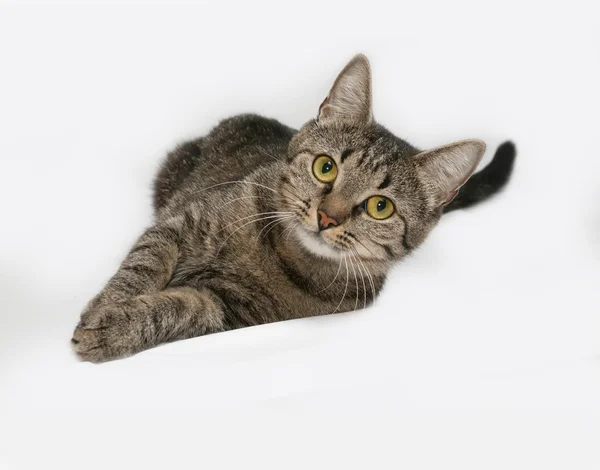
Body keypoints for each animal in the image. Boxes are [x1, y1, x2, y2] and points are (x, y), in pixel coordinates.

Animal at [71, 56, 516, 364]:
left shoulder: (231, 310)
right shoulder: (183, 222)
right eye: (325, 167)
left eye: (380, 207)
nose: (327, 216)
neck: (278, 251)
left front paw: (114, 327)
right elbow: (143, 264)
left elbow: (181, 308)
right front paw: (106, 303)